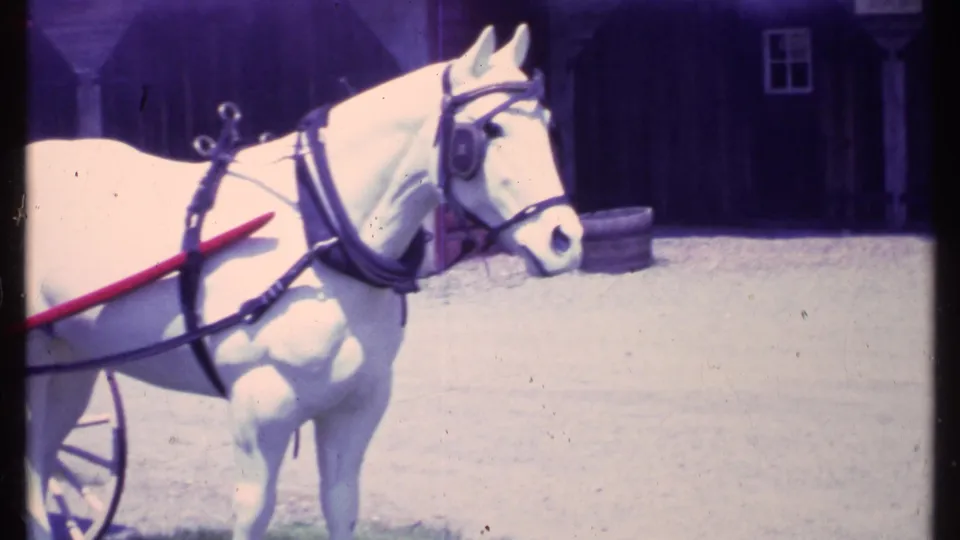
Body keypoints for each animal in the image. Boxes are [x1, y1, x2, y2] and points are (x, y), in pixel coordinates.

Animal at [24, 23, 583, 540]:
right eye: (489, 131)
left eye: (547, 122)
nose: (565, 239)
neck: (320, 237)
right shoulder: (260, 411)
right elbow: (255, 512)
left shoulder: (356, 404)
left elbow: (341, 501)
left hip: (71, 368)